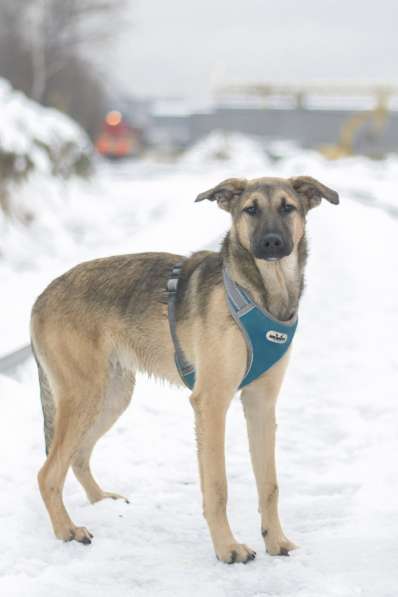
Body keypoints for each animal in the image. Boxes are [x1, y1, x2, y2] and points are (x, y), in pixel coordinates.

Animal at [31, 175, 338, 560]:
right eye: (250, 210)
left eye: (288, 208)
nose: (271, 243)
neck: (259, 292)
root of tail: (41, 297)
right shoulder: (211, 403)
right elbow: (218, 486)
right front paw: (228, 548)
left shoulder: (261, 405)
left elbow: (269, 484)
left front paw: (276, 540)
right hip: (85, 395)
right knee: (48, 473)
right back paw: (67, 530)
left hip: (111, 396)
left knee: (77, 456)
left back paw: (100, 501)